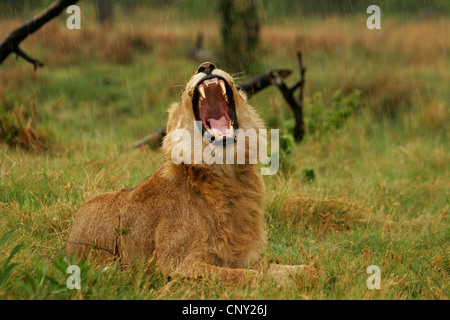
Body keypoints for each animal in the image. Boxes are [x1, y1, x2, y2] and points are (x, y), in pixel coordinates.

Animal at [67, 62, 310, 284]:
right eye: (183, 90)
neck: (227, 172)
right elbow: (247, 276)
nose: (206, 65)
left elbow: (295, 269)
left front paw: (307, 275)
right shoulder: (175, 266)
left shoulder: (241, 257)